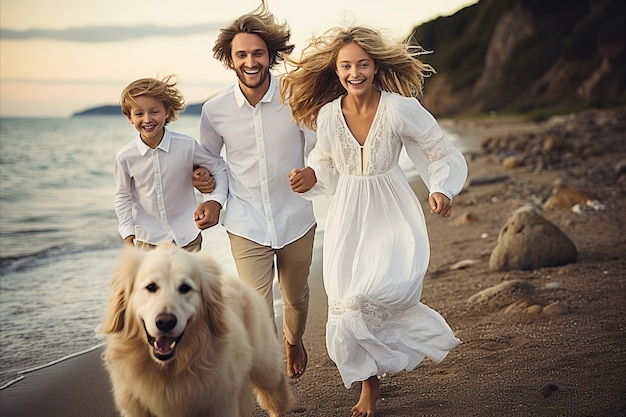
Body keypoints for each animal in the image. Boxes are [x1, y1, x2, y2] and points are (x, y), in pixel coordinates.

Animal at [102, 242, 292, 416]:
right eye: (151, 287)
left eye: (185, 288)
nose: (165, 322)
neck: (170, 372)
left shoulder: (218, 403)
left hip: (264, 365)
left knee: (275, 387)